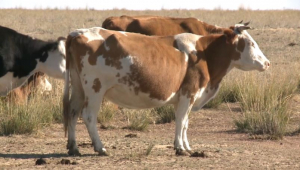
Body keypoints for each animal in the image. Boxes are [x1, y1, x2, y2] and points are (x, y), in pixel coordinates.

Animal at [62, 22, 270, 157]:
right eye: (251, 43)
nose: (267, 63)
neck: (205, 54)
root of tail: (78, 32)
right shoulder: (188, 93)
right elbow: (181, 120)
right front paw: (180, 148)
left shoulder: (187, 97)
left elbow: (185, 123)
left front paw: (186, 146)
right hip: (95, 88)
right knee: (89, 116)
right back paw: (100, 147)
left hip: (79, 88)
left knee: (72, 112)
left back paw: (73, 147)